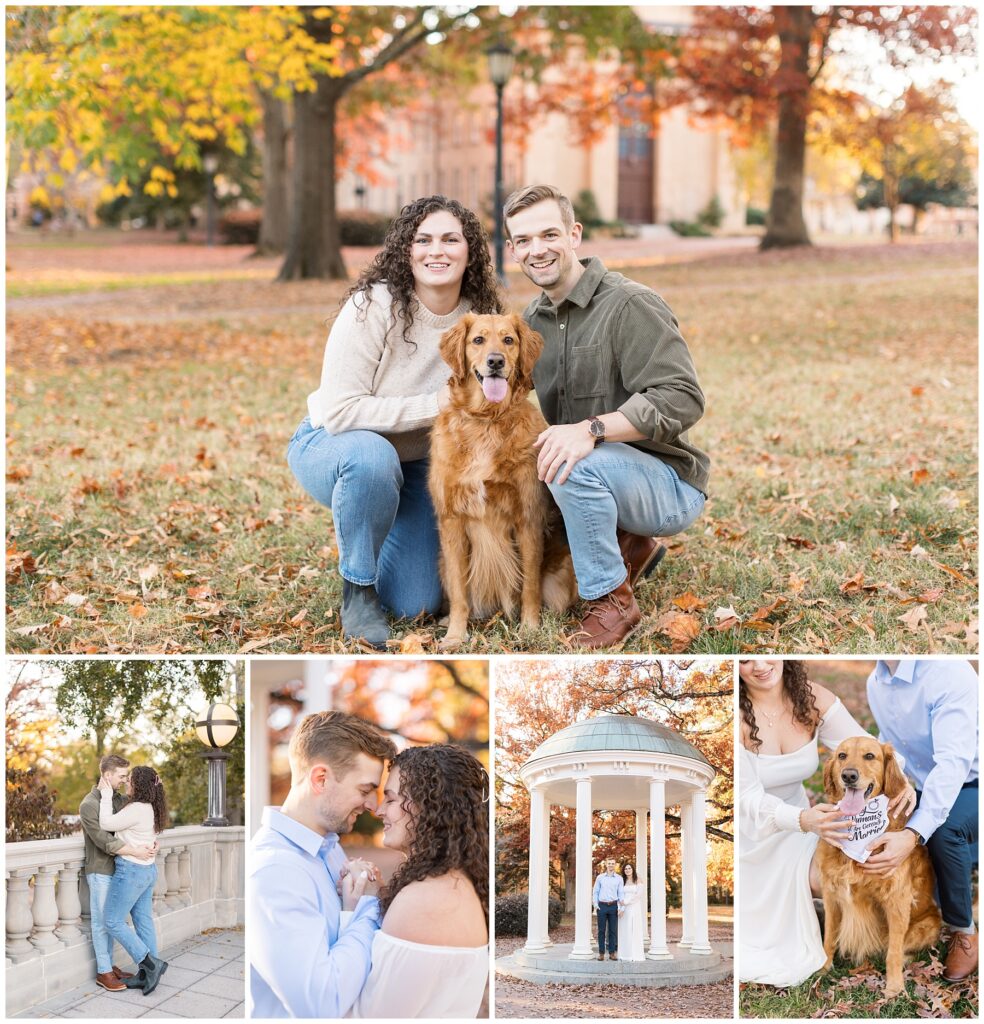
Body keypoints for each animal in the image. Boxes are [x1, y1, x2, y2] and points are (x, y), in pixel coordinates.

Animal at [428, 311, 577, 647]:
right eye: (478, 340)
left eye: (508, 340)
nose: (495, 361)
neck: (486, 420)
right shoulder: (452, 521)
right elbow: (459, 591)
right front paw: (455, 635)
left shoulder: (528, 517)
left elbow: (530, 584)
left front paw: (530, 628)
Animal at [810, 737, 942, 999]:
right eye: (841, 756)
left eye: (870, 756)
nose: (849, 775)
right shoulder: (832, 895)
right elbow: (829, 936)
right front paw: (824, 967)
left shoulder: (897, 901)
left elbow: (893, 950)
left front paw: (894, 986)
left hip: (927, 924)